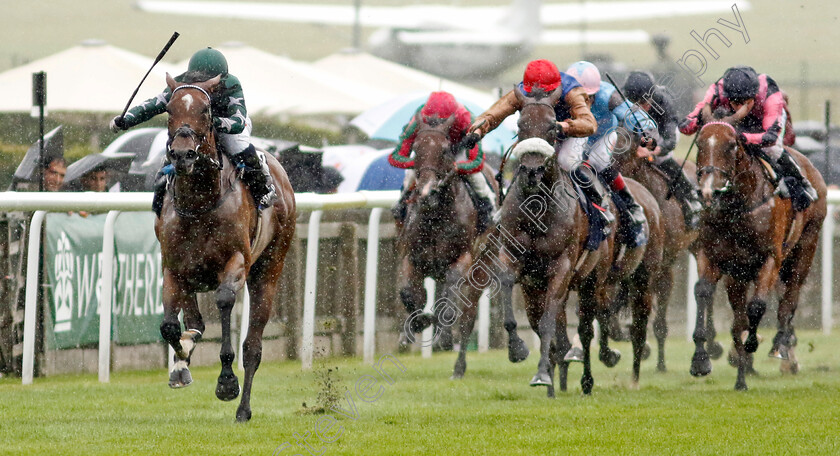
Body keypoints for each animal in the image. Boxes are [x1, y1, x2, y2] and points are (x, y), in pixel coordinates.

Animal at [156, 74, 296, 420]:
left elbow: (224, 302)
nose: (182, 155)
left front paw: (226, 382)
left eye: (206, 110)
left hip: (269, 269)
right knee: (194, 320)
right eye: (169, 109)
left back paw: (243, 408)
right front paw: (182, 358)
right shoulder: (174, 267)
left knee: (253, 347)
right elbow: (170, 326)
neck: (199, 203)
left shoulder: (236, 261)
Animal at [398, 111, 502, 378]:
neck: (436, 215)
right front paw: (417, 323)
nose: (426, 192)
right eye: (415, 149)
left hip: (482, 270)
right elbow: (408, 293)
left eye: (445, 150)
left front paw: (443, 337)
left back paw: (458, 366)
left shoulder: (462, 260)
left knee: (467, 316)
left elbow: (449, 302)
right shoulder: (411, 257)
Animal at [688, 117, 828, 388]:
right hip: (739, 276)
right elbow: (703, 292)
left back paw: (779, 345)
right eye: (700, 144)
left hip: (806, 247)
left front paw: (753, 343)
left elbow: (757, 306)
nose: (708, 191)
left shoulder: (770, 259)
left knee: (789, 299)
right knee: (739, 320)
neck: (739, 205)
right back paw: (741, 378)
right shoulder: (714, 256)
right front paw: (700, 359)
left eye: (731, 146)